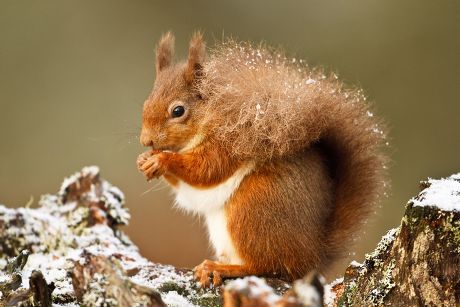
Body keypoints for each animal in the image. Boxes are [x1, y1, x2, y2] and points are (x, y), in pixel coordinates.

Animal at [137, 32, 388, 288]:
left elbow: (206, 170)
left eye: (178, 111)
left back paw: (221, 268)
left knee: (266, 265)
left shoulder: (230, 143)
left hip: (253, 207)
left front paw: (162, 160)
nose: (145, 140)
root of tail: (313, 257)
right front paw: (145, 159)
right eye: (145, 104)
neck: (214, 116)